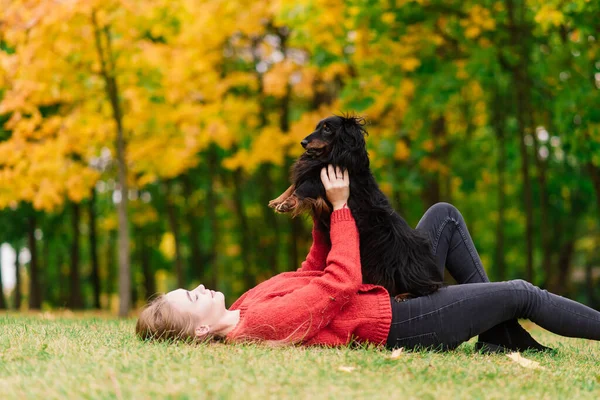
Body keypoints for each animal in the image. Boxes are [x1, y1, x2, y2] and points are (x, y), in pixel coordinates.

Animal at [270, 114, 442, 296]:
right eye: (317, 127)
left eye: (327, 128)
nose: (303, 142)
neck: (334, 155)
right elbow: (294, 185)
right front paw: (278, 200)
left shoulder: (320, 179)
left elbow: (302, 187)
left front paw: (287, 203)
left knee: (428, 287)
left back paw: (406, 294)